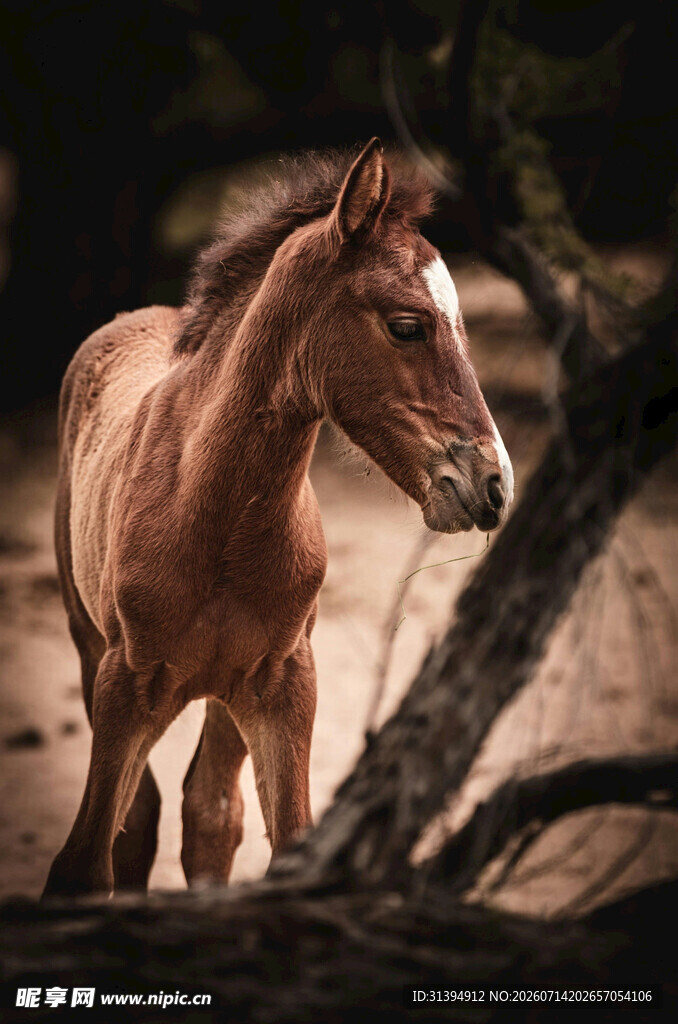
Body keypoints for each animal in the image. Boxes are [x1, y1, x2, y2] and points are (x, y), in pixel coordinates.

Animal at [43, 138, 513, 898]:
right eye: (407, 326)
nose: (494, 484)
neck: (215, 520)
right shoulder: (125, 685)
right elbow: (85, 860)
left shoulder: (285, 686)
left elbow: (283, 841)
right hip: (89, 645)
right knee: (145, 817)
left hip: (223, 694)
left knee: (209, 812)